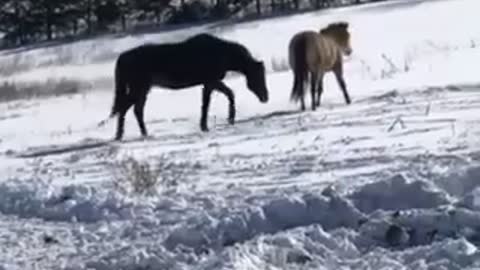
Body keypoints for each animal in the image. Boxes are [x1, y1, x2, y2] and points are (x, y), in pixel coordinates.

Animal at [108, 32, 270, 140]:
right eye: (257, 77)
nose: (265, 98)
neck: (221, 53)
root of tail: (122, 58)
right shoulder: (211, 82)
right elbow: (212, 102)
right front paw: (222, 121)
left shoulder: (209, 83)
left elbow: (215, 100)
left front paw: (209, 124)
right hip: (139, 88)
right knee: (125, 109)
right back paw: (119, 135)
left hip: (144, 89)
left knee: (136, 110)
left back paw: (143, 133)